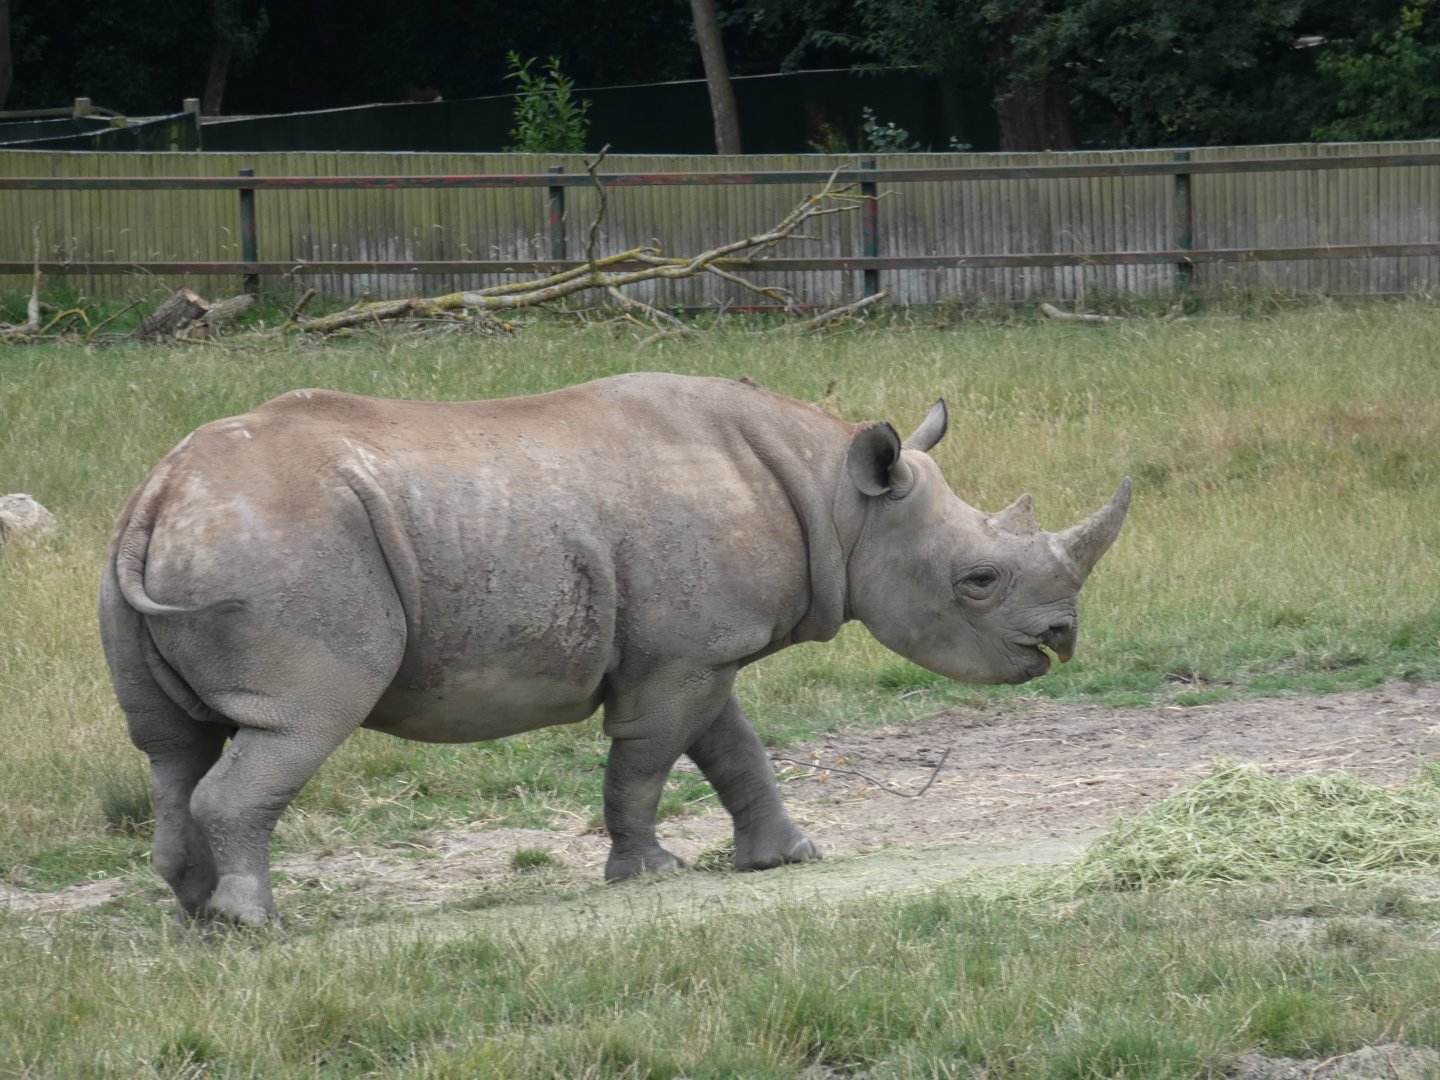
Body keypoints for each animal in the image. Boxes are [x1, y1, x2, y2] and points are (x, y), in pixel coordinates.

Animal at [98, 372, 1129, 927]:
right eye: (979, 581)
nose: (1062, 639)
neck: (843, 498)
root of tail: (159, 494)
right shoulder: (682, 658)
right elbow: (647, 759)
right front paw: (651, 873)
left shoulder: (700, 648)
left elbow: (733, 749)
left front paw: (789, 859)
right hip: (289, 547)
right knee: (297, 723)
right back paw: (257, 925)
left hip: (159, 553)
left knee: (173, 748)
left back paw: (201, 919)